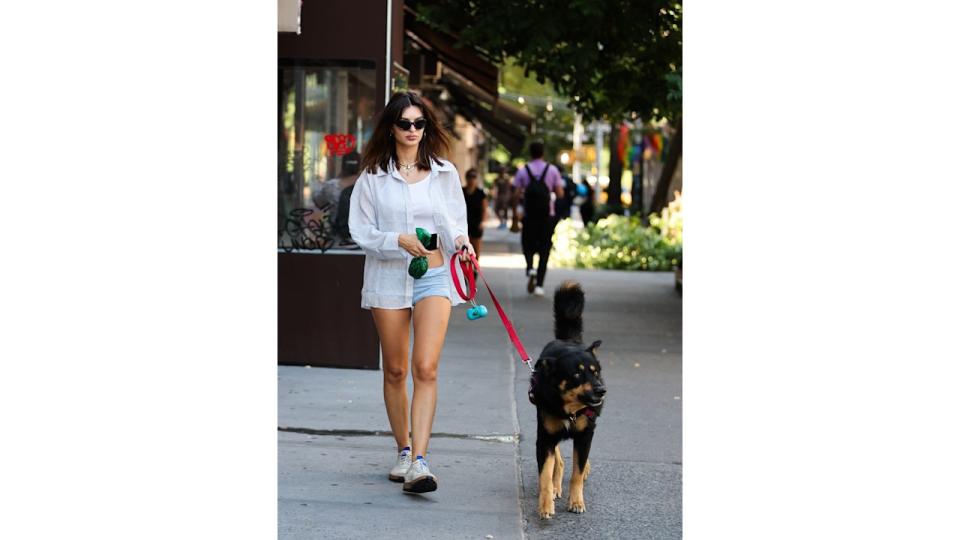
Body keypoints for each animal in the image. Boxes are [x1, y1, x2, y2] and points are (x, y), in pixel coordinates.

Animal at [528, 280, 604, 516]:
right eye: (577, 375)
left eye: (595, 372)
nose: (601, 390)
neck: (570, 410)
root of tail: (568, 340)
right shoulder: (545, 438)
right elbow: (545, 473)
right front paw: (545, 505)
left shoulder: (585, 435)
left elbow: (577, 473)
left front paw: (577, 502)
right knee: (558, 462)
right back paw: (555, 487)